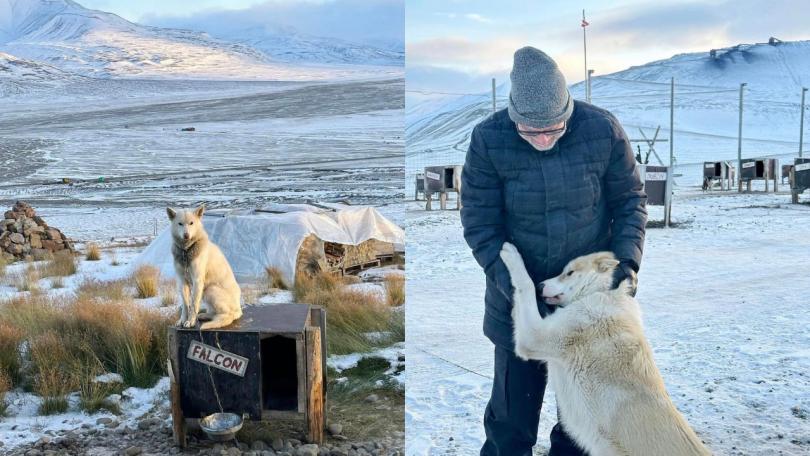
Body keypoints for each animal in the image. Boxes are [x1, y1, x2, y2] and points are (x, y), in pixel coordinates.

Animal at [498, 242, 708, 456]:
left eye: (569, 272)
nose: (541, 286)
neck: (595, 293)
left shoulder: (533, 336)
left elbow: (525, 285)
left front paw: (511, 254)